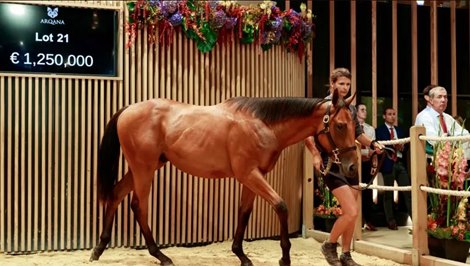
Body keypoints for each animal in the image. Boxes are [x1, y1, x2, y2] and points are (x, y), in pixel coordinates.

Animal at [90, 90, 358, 266]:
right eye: (341, 125)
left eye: (354, 123)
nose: (353, 167)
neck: (262, 124)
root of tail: (128, 109)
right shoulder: (249, 174)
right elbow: (281, 206)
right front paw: (284, 257)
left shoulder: (252, 178)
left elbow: (244, 213)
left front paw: (241, 255)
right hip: (143, 169)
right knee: (138, 206)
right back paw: (161, 255)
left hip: (143, 168)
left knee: (116, 195)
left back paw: (99, 249)